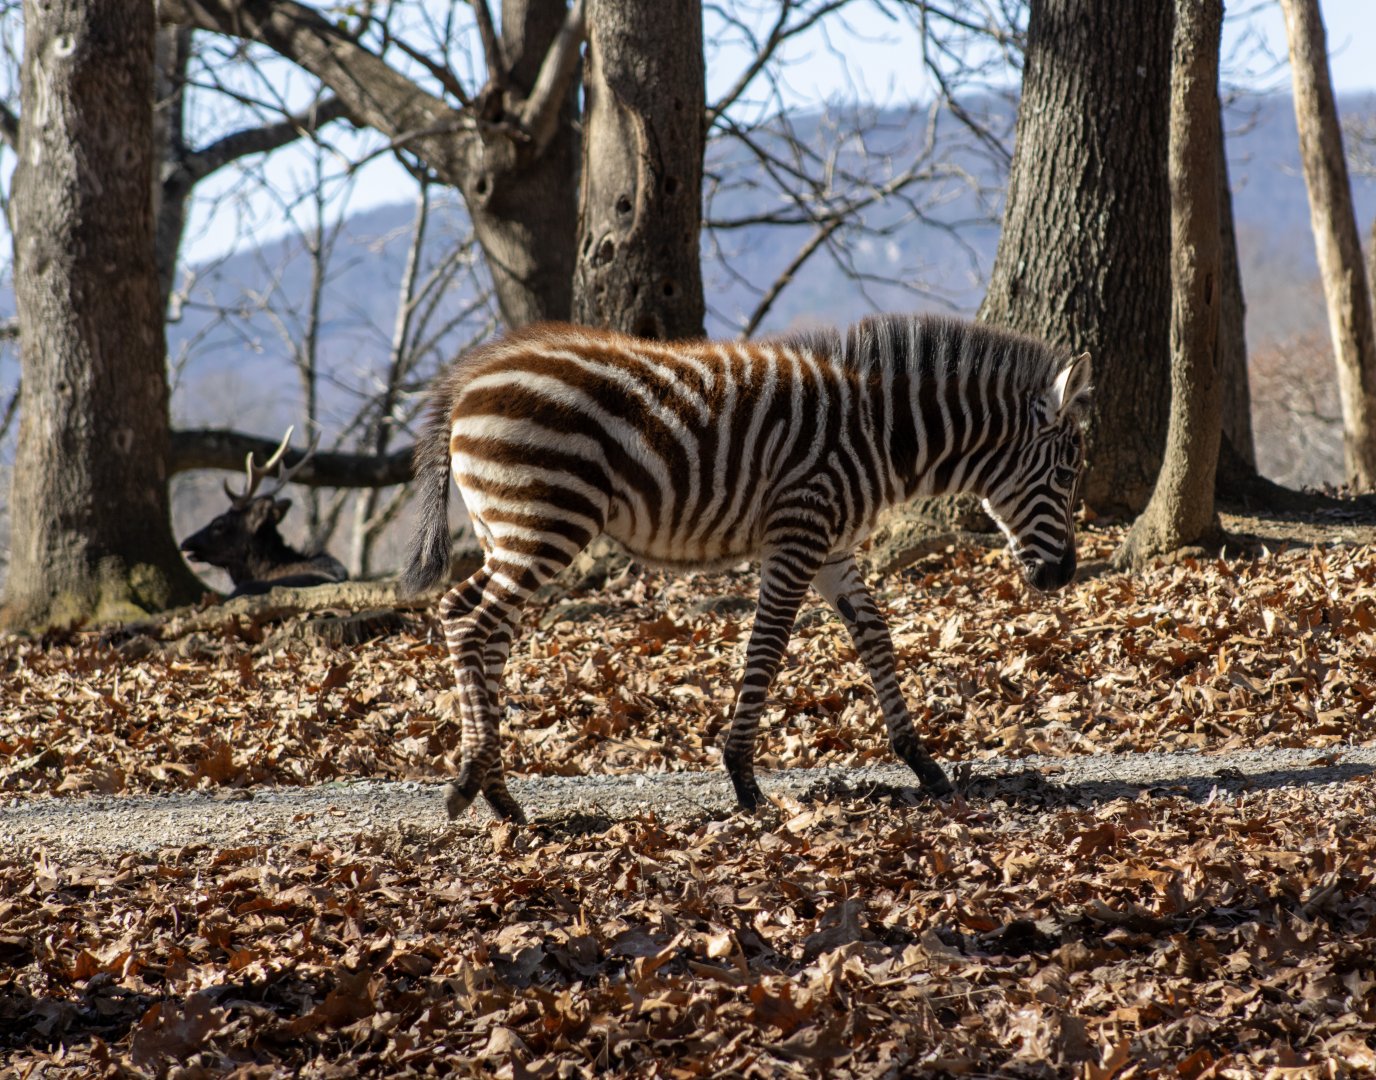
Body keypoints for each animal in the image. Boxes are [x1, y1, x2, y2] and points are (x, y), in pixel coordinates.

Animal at [402, 314, 1092, 822]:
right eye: (1066, 475)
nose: (1062, 575)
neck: (882, 434)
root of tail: (471, 379)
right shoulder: (798, 534)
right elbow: (769, 646)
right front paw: (743, 780)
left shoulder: (835, 550)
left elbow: (876, 639)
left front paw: (923, 764)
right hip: (545, 519)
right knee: (471, 620)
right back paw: (469, 782)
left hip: (505, 528)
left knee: (477, 622)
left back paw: (500, 796)